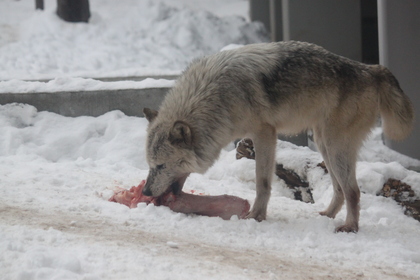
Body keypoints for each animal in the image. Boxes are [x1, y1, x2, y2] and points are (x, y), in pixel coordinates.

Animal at [141, 40, 414, 233]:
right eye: (150, 165)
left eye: (161, 166)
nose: (145, 191)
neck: (215, 95)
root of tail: (372, 69)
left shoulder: (264, 134)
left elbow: (262, 183)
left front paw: (256, 217)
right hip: (324, 144)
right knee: (339, 188)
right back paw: (328, 215)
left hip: (335, 146)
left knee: (354, 191)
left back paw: (350, 227)